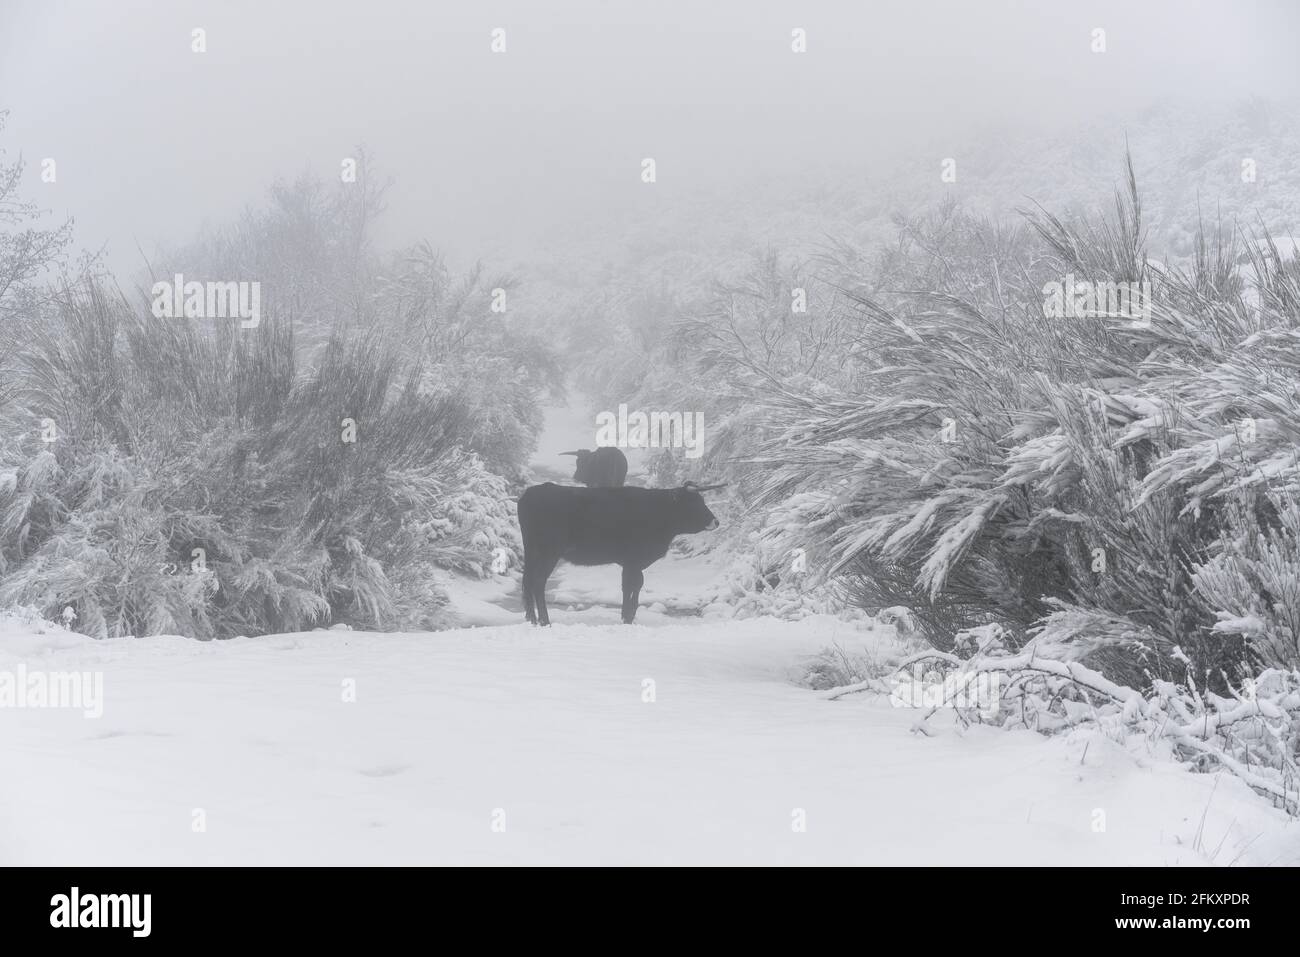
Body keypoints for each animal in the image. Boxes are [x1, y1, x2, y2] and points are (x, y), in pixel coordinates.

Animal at [516, 480, 725, 626]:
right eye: (693, 503)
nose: (716, 521)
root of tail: (532, 492)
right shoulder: (634, 560)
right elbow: (633, 584)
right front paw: (628, 617)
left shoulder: (630, 563)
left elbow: (631, 585)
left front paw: (626, 616)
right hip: (548, 552)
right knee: (538, 582)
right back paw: (545, 621)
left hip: (532, 552)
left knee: (527, 581)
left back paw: (532, 619)